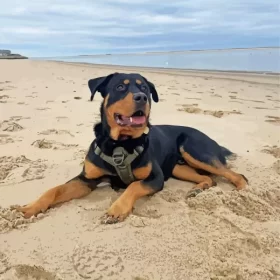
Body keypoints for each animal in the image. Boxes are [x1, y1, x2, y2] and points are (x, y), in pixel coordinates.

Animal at [16, 73, 248, 224]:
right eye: (120, 87)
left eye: (144, 88)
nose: (141, 97)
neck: (120, 144)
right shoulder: (86, 179)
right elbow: (54, 190)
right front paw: (30, 208)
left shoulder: (155, 178)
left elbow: (133, 186)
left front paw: (116, 209)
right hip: (178, 167)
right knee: (209, 178)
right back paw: (198, 189)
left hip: (194, 148)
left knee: (236, 175)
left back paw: (242, 195)